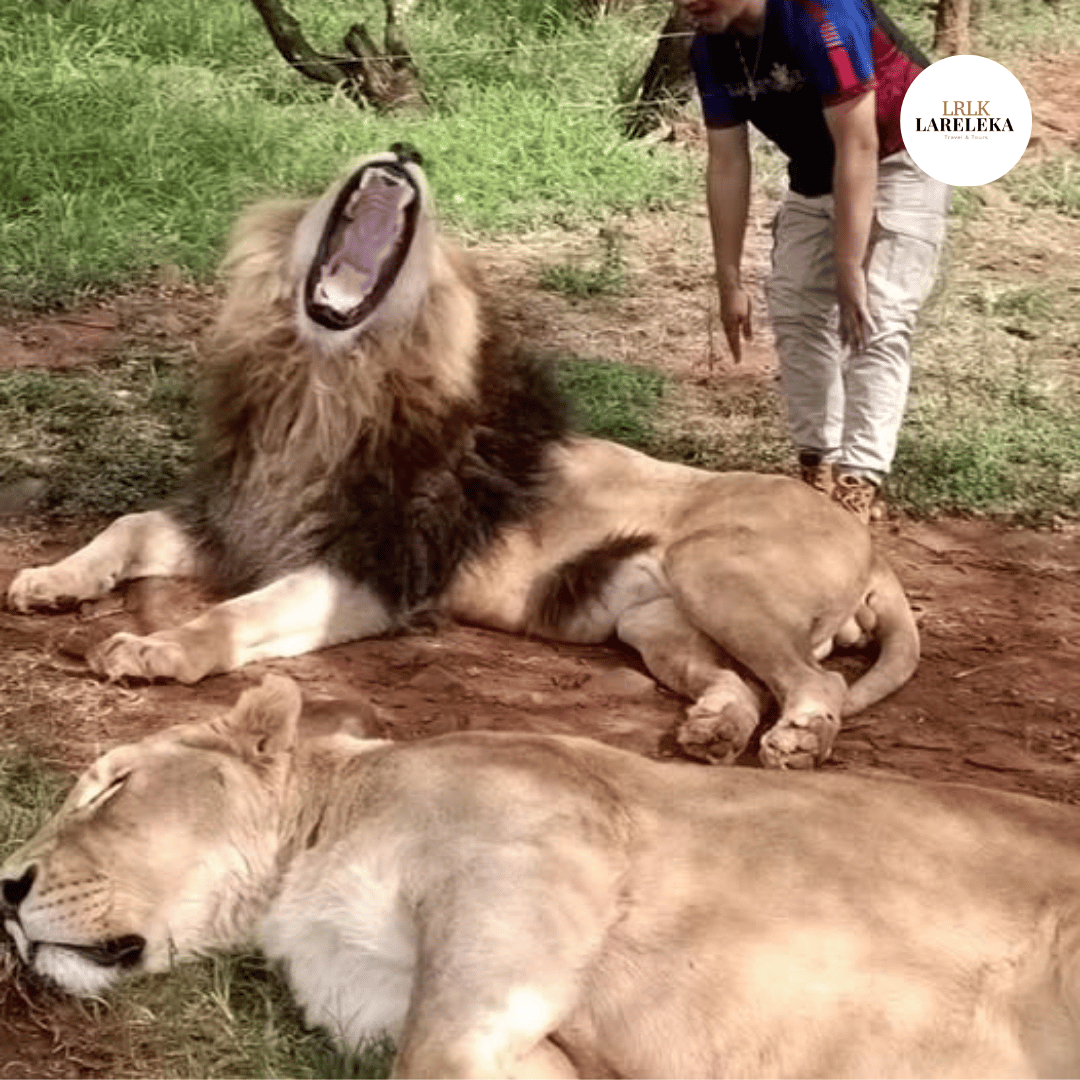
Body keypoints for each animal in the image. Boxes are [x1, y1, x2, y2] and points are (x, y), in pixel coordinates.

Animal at [5, 146, 919, 769]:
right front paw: (50, 581)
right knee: (742, 685)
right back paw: (715, 729)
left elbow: (236, 615)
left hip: (716, 571)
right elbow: (127, 527)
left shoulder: (371, 573)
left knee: (816, 685)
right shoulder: (238, 521)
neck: (319, 386)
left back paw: (797, 738)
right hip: (655, 622)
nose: (404, 148)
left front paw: (155, 649)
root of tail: (872, 549)